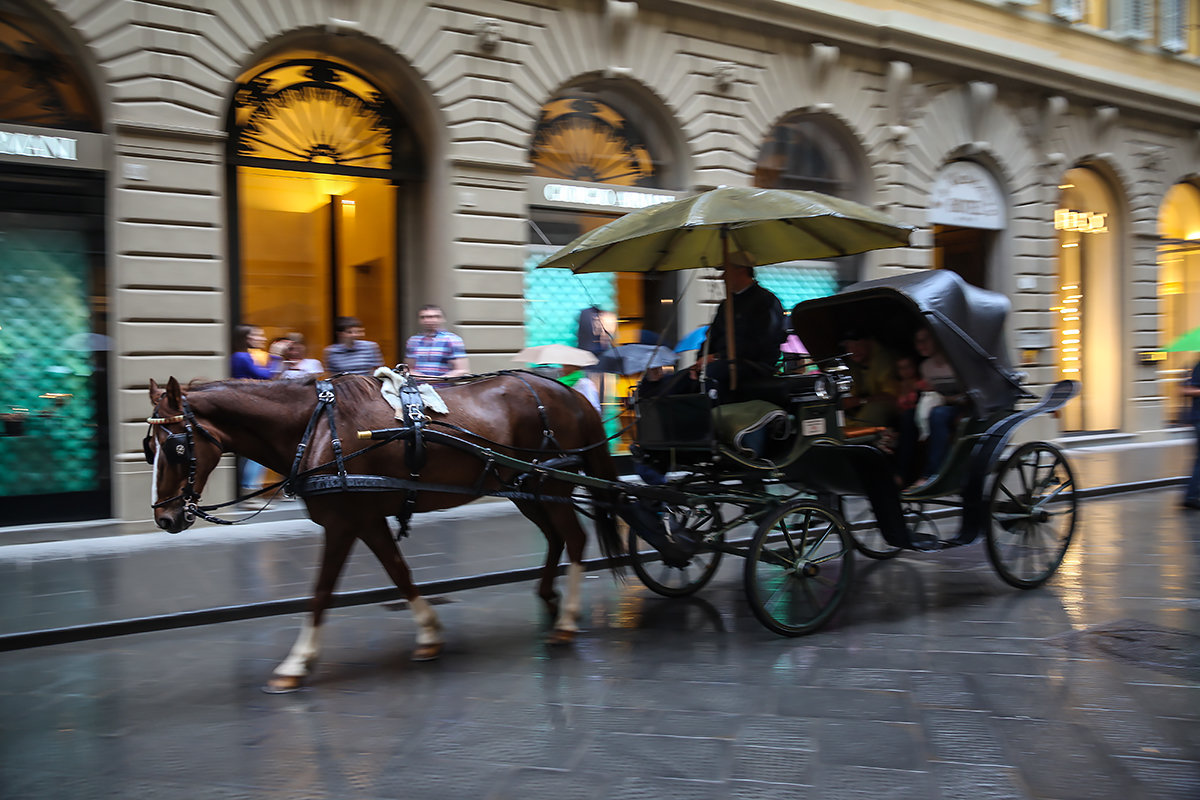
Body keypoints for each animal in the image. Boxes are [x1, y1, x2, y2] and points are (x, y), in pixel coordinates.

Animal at [145, 371, 624, 690]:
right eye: (149, 447)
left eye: (178, 447)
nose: (165, 518)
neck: (316, 431)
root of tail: (568, 392)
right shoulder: (365, 521)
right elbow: (399, 573)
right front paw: (429, 633)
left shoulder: (344, 523)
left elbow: (321, 593)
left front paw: (296, 663)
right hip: (526, 490)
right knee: (556, 538)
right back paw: (548, 597)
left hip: (550, 484)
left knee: (576, 539)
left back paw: (566, 621)